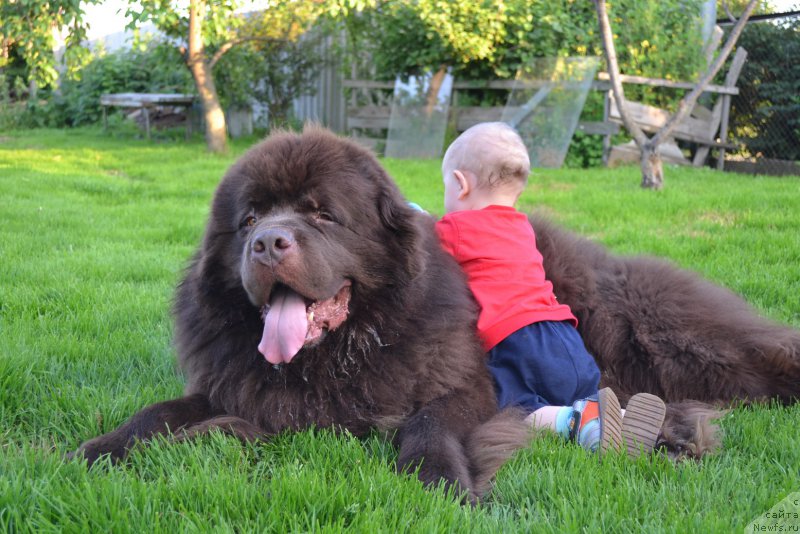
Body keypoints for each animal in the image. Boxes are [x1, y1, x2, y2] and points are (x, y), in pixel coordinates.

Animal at [73, 125, 792, 502]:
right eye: (247, 218)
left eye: (321, 214)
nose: (267, 243)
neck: (335, 352)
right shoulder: (234, 384)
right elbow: (163, 411)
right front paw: (104, 448)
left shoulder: (462, 386)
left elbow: (426, 421)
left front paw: (439, 478)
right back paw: (664, 434)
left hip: (677, 339)